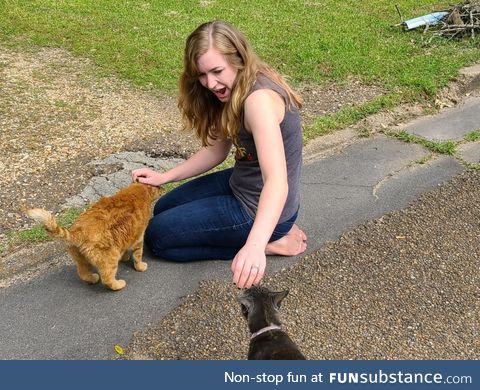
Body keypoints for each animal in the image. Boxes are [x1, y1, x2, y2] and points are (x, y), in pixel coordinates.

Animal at [26, 182, 163, 290]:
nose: (162, 188)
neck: (138, 190)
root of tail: (78, 231)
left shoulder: (126, 237)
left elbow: (125, 249)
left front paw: (124, 257)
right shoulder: (138, 238)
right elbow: (138, 256)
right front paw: (140, 266)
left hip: (82, 259)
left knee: (82, 273)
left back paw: (92, 278)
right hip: (110, 258)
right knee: (107, 279)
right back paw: (118, 284)